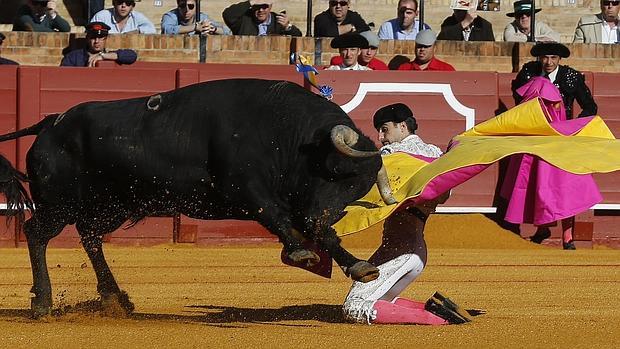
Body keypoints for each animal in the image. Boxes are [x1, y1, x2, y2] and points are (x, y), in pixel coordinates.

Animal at [0, 78, 398, 316]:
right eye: (341, 173)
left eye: (359, 187)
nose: (322, 213)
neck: (291, 135)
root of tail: (51, 121)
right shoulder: (246, 188)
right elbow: (275, 215)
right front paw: (301, 251)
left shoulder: (301, 202)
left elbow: (323, 236)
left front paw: (359, 266)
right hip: (59, 203)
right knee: (37, 233)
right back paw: (43, 302)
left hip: (110, 205)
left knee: (90, 237)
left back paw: (116, 299)